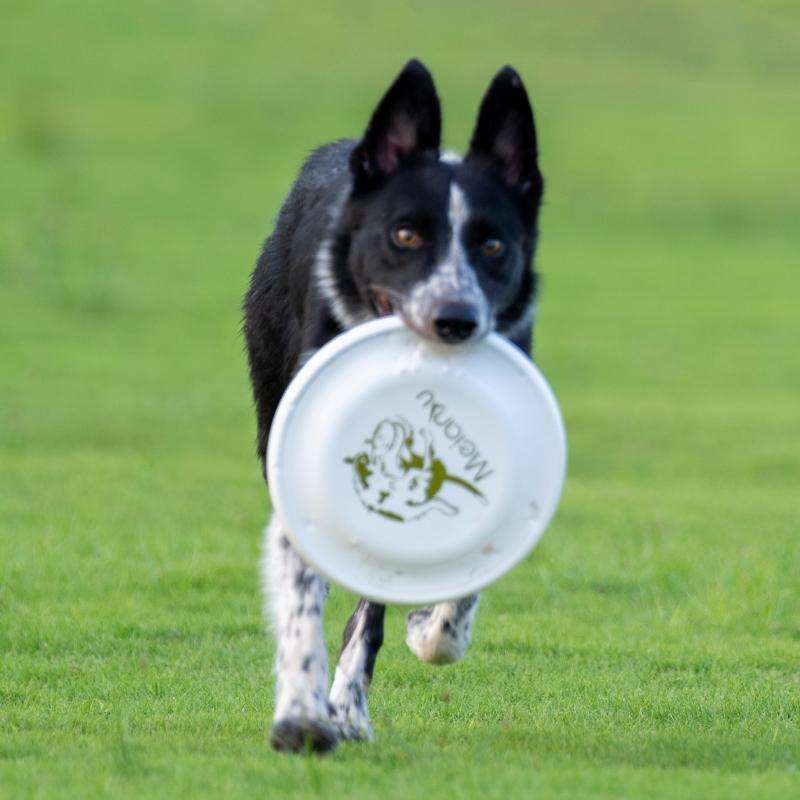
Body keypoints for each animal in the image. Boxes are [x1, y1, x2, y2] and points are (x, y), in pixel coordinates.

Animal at [242, 59, 544, 752]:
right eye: (405, 234)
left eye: (493, 246)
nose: (454, 319)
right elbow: (301, 595)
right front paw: (301, 715)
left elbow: (460, 595)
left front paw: (427, 632)